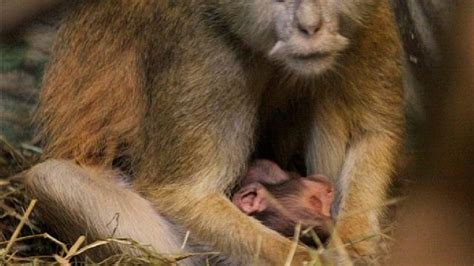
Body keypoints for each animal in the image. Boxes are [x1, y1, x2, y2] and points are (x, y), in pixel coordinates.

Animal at [25, 0, 404, 264]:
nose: (309, 27)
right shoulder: (204, 48)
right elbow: (184, 195)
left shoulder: (367, 21)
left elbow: (371, 132)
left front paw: (353, 246)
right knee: (51, 178)